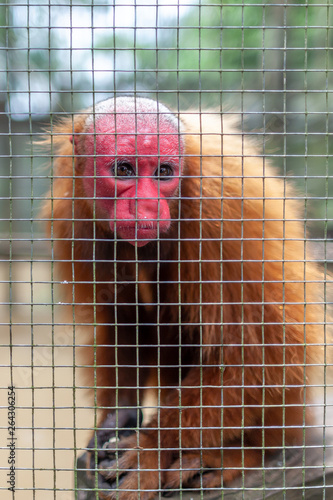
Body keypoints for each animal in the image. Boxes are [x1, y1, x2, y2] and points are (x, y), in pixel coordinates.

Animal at [44, 95, 322, 498]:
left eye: (163, 172)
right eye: (124, 169)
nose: (146, 205)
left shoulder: (223, 211)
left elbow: (264, 352)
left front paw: (154, 446)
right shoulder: (76, 215)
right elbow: (123, 318)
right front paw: (119, 417)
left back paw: (239, 455)